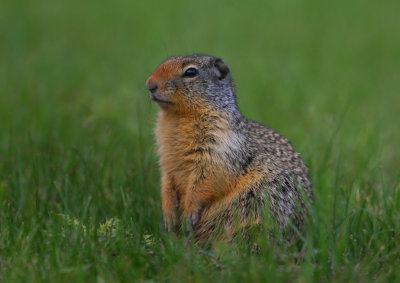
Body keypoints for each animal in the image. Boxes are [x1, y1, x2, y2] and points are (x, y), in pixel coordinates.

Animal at [146, 55, 312, 244]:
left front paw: (190, 212)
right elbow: (167, 182)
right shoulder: (166, 159)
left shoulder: (218, 148)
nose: (149, 84)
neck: (178, 117)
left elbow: (207, 180)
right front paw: (168, 216)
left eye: (190, 72)